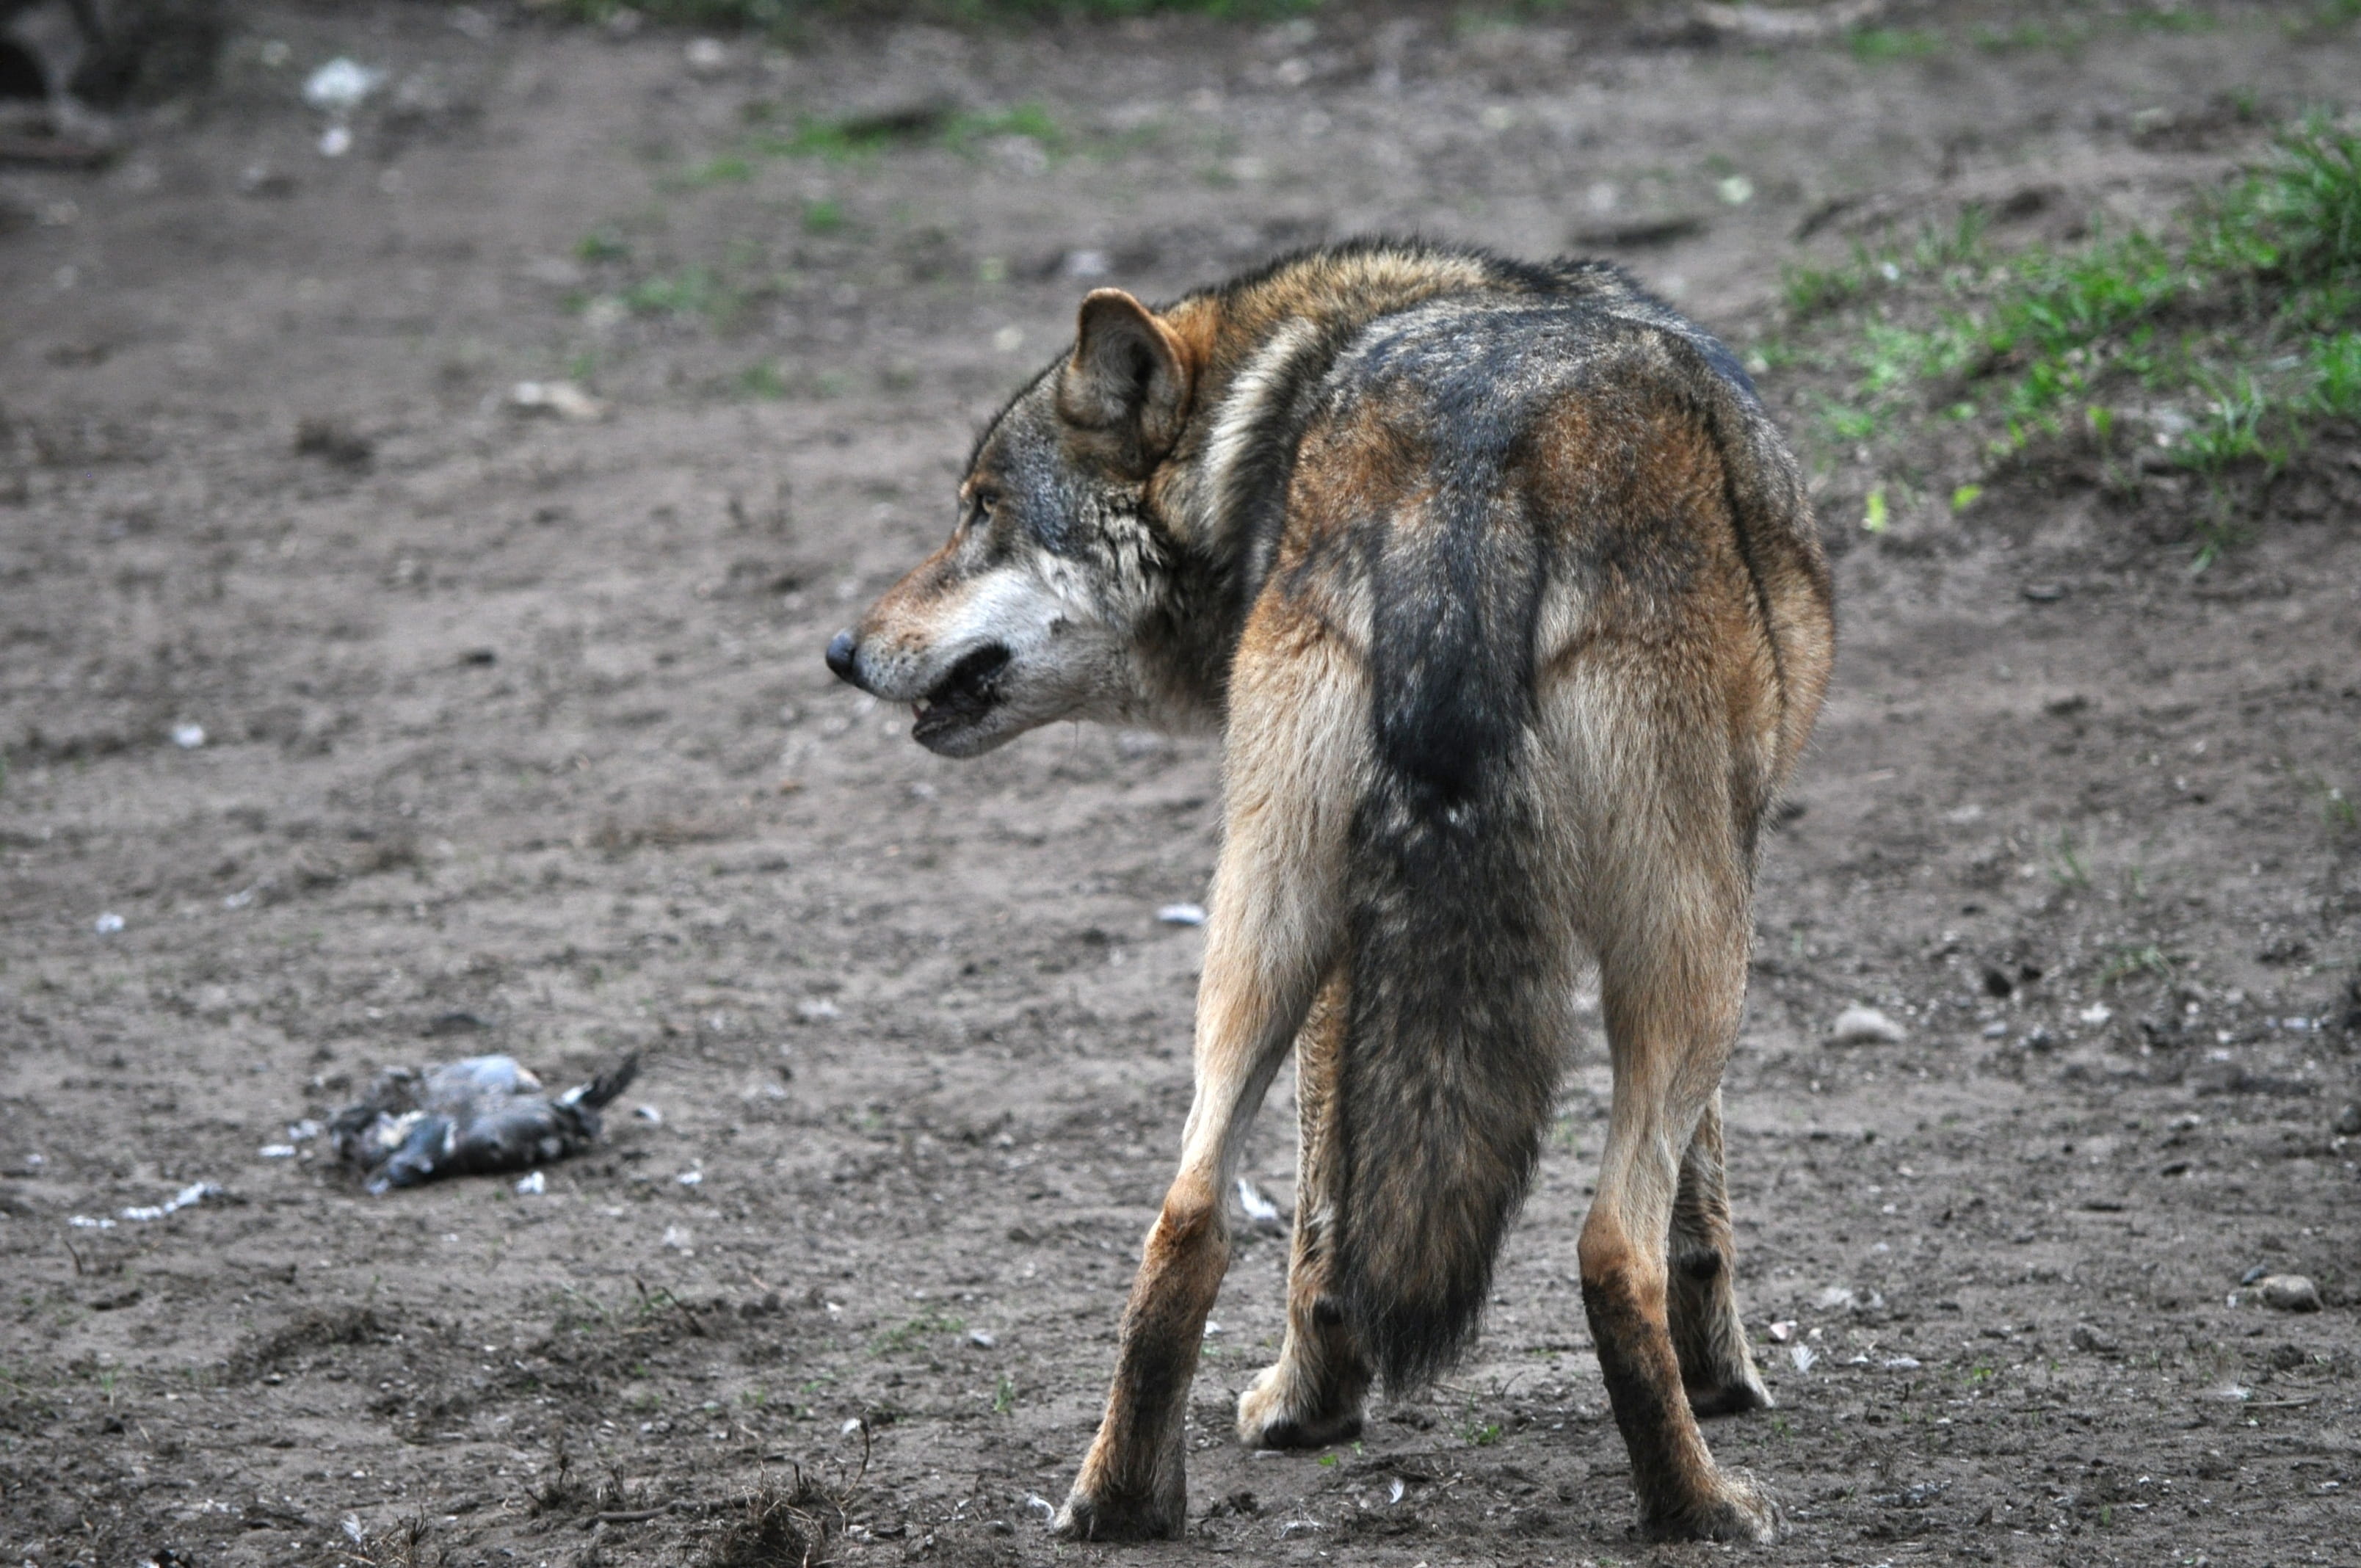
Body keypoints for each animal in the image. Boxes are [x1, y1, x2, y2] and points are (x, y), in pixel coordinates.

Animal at [824, 239, 1834, 1543]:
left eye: (982, 510)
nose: (840, 652)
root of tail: (1474, 471)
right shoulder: (1724, 868)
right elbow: (1695, 1204)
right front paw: (1726, 1382)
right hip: (1699, 964)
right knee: (1612, 1245)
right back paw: (1700, 1505)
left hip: (1264, 928)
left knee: (1190, 1215)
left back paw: (1129, 1499)